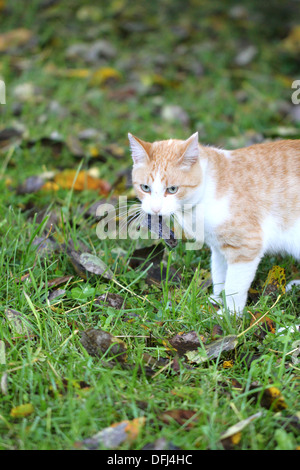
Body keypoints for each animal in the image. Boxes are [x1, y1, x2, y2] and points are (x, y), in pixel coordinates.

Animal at [128, 132, 300, 316]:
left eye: (172, 189)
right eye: (145, 188)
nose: (155, 209)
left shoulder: (246, 246)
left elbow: (234, 286)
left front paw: (229, 314)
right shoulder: (218, 248)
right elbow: (219, 274)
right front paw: (217, 299)